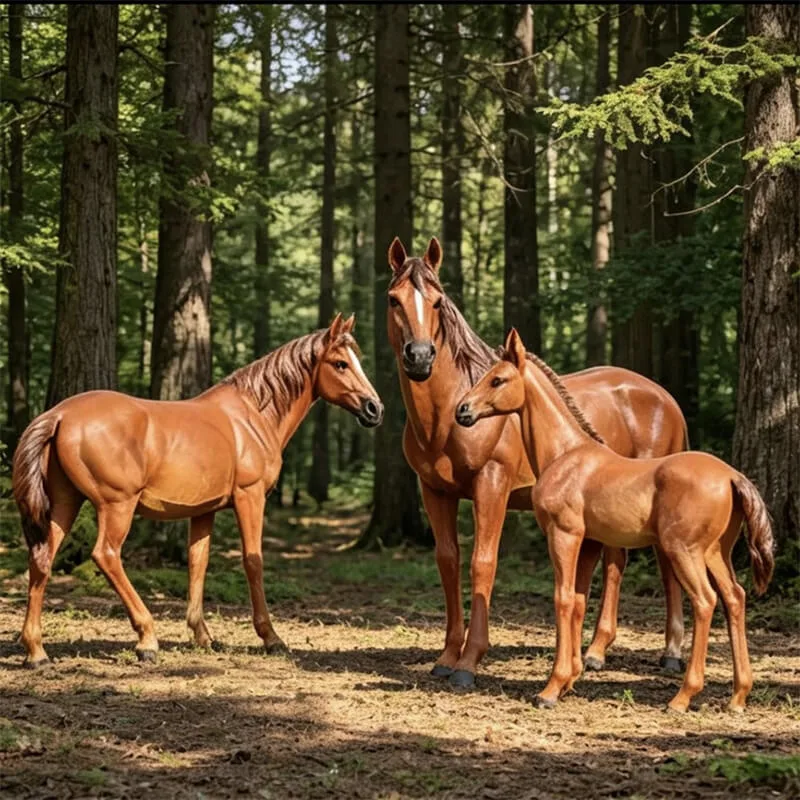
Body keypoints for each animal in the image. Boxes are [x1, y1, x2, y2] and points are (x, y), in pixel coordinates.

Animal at [12, 313, 383, 667]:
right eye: (340, 363)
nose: (374, 408)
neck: (252, 416)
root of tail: (60, 414)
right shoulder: (250, 498)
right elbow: (253, 561)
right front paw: (270, 637)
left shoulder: (204, 510)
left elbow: (197, 562)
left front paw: (202, 636)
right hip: (117, 505)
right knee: (106, 555)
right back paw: (147, 639)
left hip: (65, 503)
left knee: (42, 558)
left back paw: (37, 651)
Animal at [387, 236, 689, 689]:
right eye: (394, 299)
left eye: (437, 302)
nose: (420, 357)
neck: (445, 416)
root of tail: (665, 399)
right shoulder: (434, 491)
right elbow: (448, 561)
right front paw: (446, 656)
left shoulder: (491, 486)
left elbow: (482, 564)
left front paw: (469, 662)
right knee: (616, 562)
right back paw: (596, 652)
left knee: (666, 567)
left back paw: (670, 653)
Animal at [456, 328, 774, 711]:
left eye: (497, 379)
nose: (462, 411)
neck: (566, 455)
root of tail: (731, 476)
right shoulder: (589, 540)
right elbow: (578, 601)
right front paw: (571, 679)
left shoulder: (564, 534)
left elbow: (563, 598)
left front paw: (551, 689)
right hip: (716, 553)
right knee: (734, 598)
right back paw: (738, 696)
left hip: (684, 551)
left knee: (704, 601)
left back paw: (682, 696)